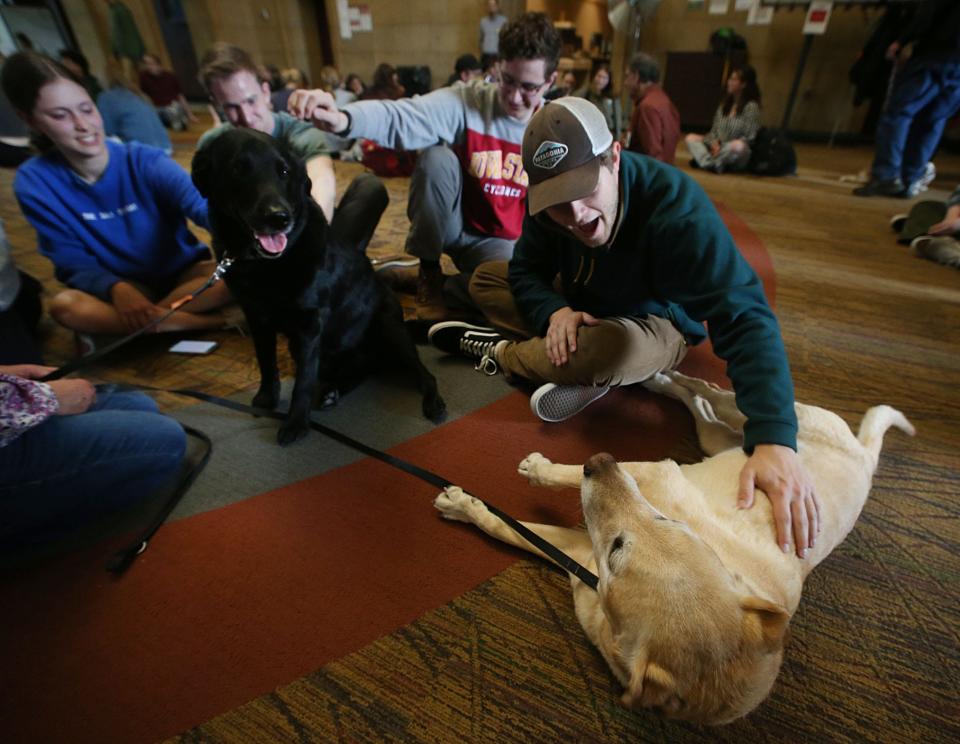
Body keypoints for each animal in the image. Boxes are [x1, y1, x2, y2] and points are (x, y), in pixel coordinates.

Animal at [195, 129, 450, 444]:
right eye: (237, 169)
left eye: (283, 171)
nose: (279, 218)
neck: (264, 265)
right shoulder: (256, 317)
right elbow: (266, 361)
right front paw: (267, 399)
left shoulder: (309, 325)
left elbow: (303, 381)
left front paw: (296, 423)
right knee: (362, 368)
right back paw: (332, 391)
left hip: (390, 330)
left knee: (423, 374)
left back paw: (432, 402)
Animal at [436, 370, 916, 720]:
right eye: (666, 521)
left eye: (618, 550)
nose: (600, 459)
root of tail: (865, 456)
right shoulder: (633, 491)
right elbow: (509, 523)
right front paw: (466, 503)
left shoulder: (601, 530)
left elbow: (526, 514)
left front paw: (523, 477)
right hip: (744, 429)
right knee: (712, 395)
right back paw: (664, 380)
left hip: (732, 434)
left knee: (709, 401)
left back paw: (664, 383)